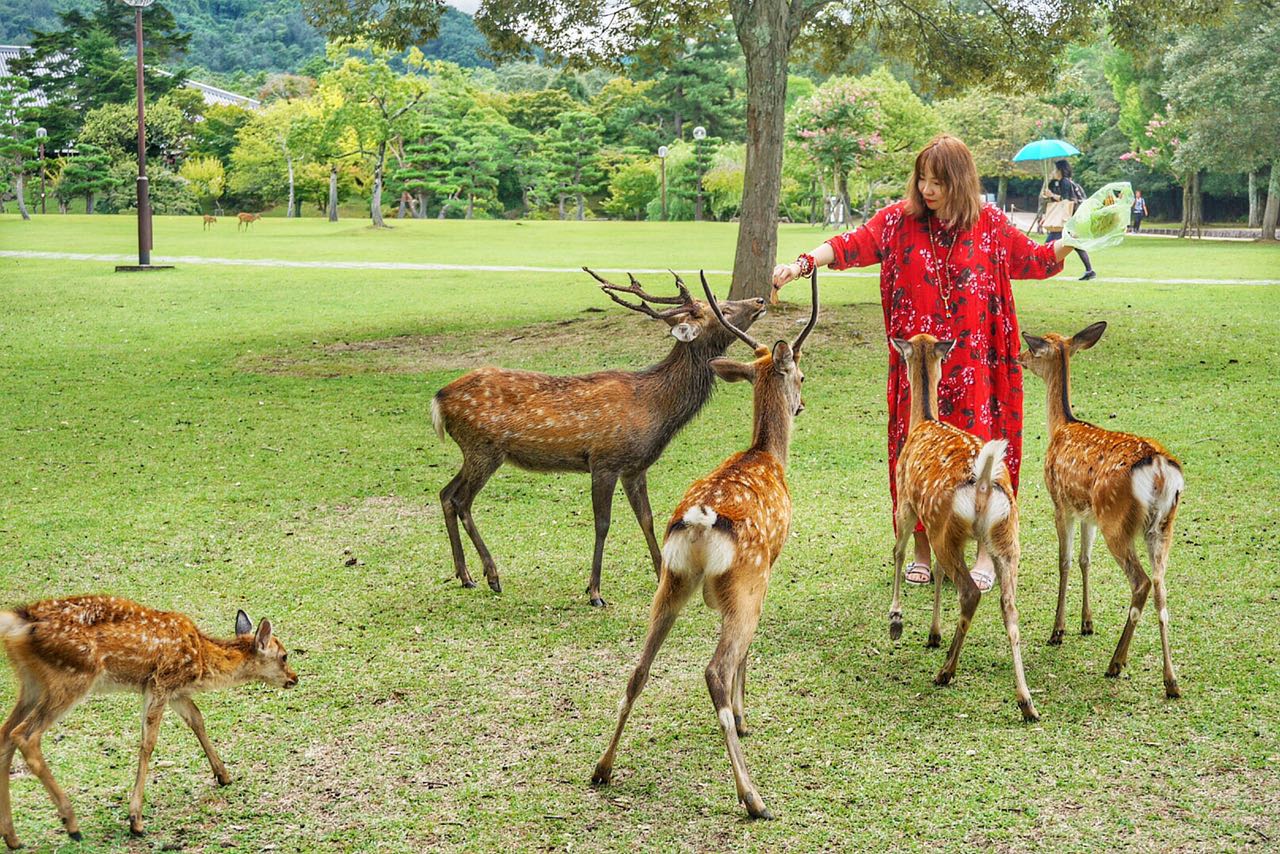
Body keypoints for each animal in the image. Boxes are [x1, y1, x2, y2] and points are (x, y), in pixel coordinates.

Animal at [430, 270, 768, 604]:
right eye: (722, 309)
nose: (760, 300)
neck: (656, 409)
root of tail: (438, 400)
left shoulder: (635, 467)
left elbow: (647, 518)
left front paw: (661, 575)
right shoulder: (604, 461)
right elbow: (603, 524)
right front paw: (594, 591)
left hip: (475, 452)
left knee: (446, 493)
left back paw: (465, 575)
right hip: (484, 448)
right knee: (461, 500)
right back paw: (492, 575)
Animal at [591, 270, 819, 819]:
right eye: (800, 375)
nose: (803, 401)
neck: (767, 455)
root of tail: (697, 523)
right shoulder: (768, 571)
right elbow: (747, 654)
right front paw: (745, 715)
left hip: (670, 581)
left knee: (638, 668)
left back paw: (602, 768)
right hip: (743, 581)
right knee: (716, 668)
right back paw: (753, 797)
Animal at [890, 332, 1039, 722]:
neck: (923, 421)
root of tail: (984, 482)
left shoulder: (907, 503)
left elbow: (899, 552)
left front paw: (896, 620)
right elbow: (936, 572)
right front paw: (933, 634)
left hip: (946, 527)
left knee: (970, 592)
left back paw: (946, 671)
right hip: (1006, 537)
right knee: (1009, 606)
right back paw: (1026, 701)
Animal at [1018, 323, 1187, 696]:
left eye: (1034, 348)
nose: (1017, 357)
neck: (1061, 425)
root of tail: (1160, 470)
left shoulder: (1061, 503)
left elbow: (1065, 562)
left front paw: (1058, 631)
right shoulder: (1088, 514)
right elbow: (1085, 560)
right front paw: (1087, 623)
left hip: (1117, 520)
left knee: (1141, 582)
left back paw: (1116, 662)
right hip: (1162, 526)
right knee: (1161, 587)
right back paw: (1171, 680)